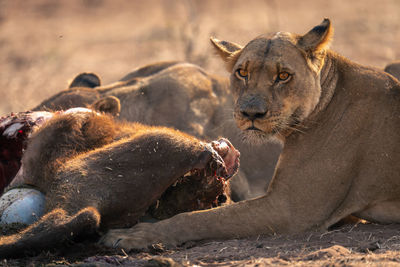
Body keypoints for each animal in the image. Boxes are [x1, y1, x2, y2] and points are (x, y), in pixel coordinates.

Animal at [97, 18, 400, 251]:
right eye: (242, 72)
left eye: (283, 76)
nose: (251, 113)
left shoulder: (291, 208)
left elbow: (202, 218)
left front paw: (135, 235)